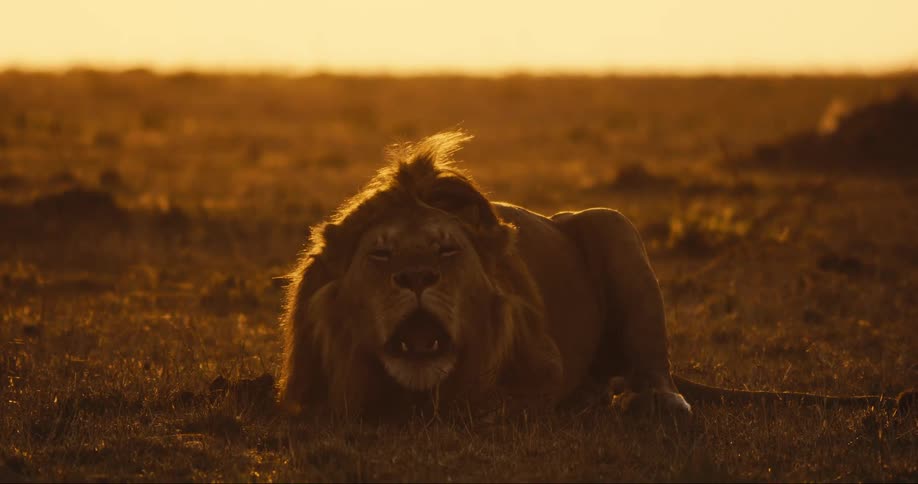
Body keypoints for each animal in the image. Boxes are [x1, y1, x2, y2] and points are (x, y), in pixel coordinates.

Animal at [278, 131, 911, 418]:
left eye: (447, 251)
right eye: (381, 257)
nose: (415, 278)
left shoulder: (535, 372)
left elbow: (490, 399)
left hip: (613, 225)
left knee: (656, 371)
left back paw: (648, 403)